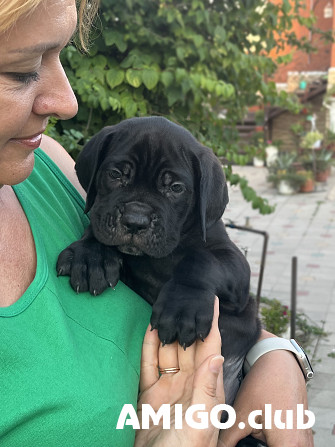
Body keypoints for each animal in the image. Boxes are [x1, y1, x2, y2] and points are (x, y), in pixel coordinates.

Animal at [57, 116, 262, 406]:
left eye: (175, 188)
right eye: (116, 174)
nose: (135, 220)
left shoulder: (235, 267)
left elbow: (200, 259)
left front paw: (183, 306)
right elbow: (97, 228)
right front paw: (90, 257)